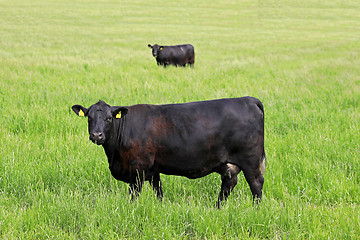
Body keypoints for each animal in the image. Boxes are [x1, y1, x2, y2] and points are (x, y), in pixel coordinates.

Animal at [71, 96, 266, 207]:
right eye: (89, 118)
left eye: (109, 118)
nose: (97, 135)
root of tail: (249, 99)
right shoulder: (153, 169)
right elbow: (158, 191)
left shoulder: (138, 167)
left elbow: (134, 193)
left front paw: (130, 210)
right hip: (229, 164)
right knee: (228, 184)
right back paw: (217, 207)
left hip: (251, 161)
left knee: (256, 185)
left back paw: (255, 210)